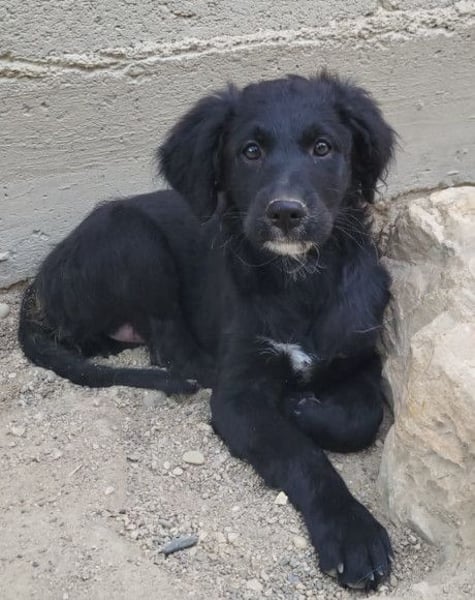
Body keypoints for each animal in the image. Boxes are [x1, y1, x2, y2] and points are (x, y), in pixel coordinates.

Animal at [19, 72, 396, 590]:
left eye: (323, 148)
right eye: (250, 151)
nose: (285, 213)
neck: (300, 279)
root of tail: (38, 285)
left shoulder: (360, 356)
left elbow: (362, 418)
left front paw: (305, 408)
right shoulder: (239, 395)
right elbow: (301, 456)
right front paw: (351, 531)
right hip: (132, 237)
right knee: (169, 347)